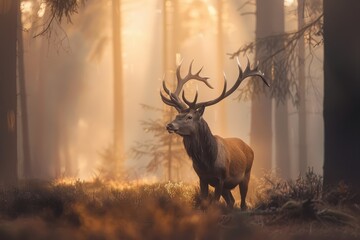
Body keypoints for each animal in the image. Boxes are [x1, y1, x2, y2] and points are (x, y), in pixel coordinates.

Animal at [159, 57, 268, 209]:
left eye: (189, 117)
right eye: (177, 115)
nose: (169, 125)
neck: (207, 161)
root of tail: (249, 147)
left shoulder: (221, 178)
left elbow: (215, 202)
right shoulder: (202, 178)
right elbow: (204, 201)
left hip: (246, 174)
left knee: (243, 203)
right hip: (228, 186)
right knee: (231, 201)